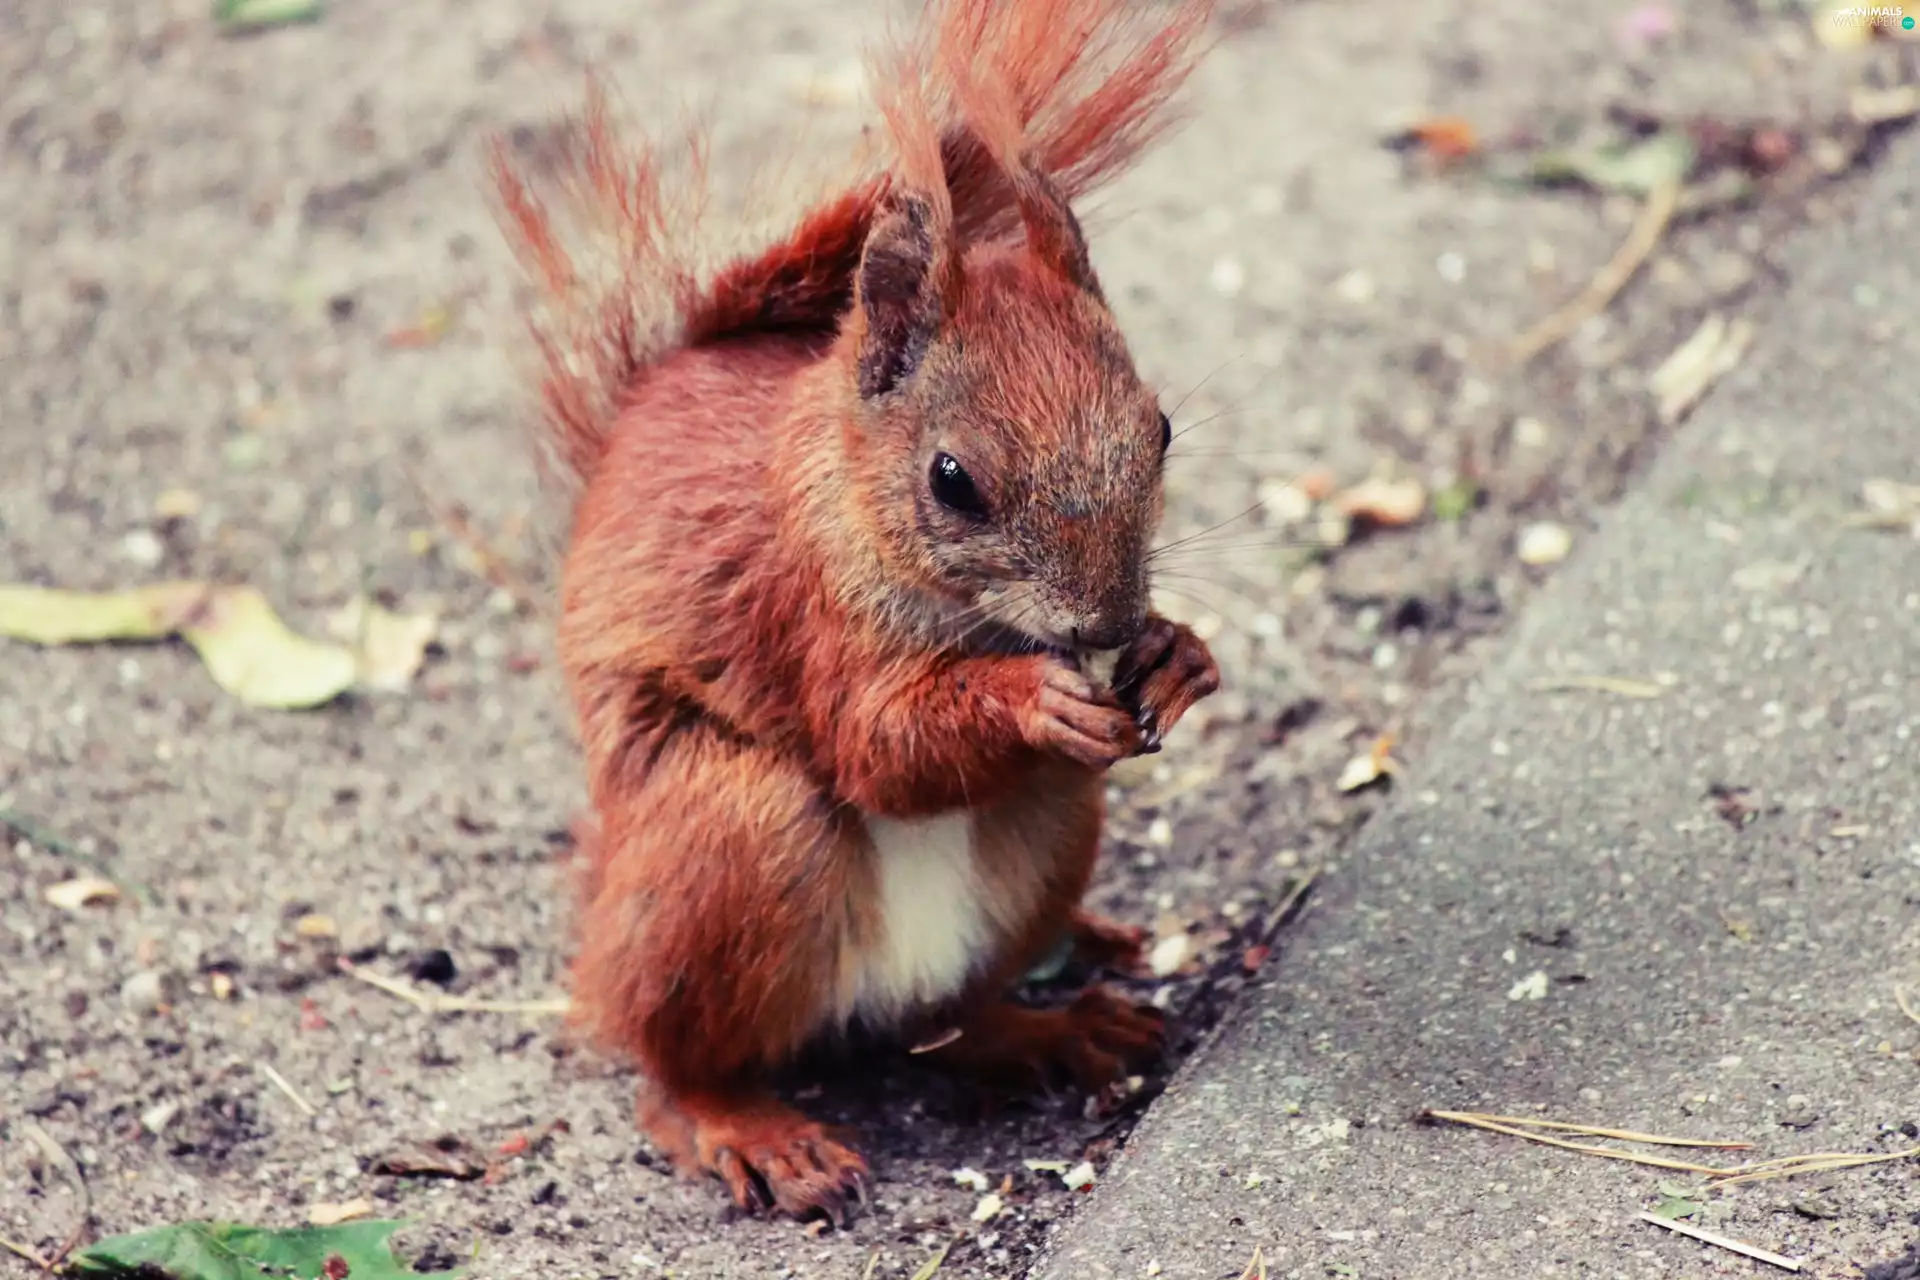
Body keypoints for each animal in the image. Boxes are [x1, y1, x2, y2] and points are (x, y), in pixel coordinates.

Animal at [490, 0, 1222, 1227]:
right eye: (953, 480)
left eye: (1161, 429)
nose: (1105, 621)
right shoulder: (807, 611)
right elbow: (877, 745)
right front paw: (1033, 699)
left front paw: (1177, 655)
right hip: (731, 834)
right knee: (669, 1061)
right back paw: (750, 1128)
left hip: (1049, 832)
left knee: (956, 1021)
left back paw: (1059, 1026)